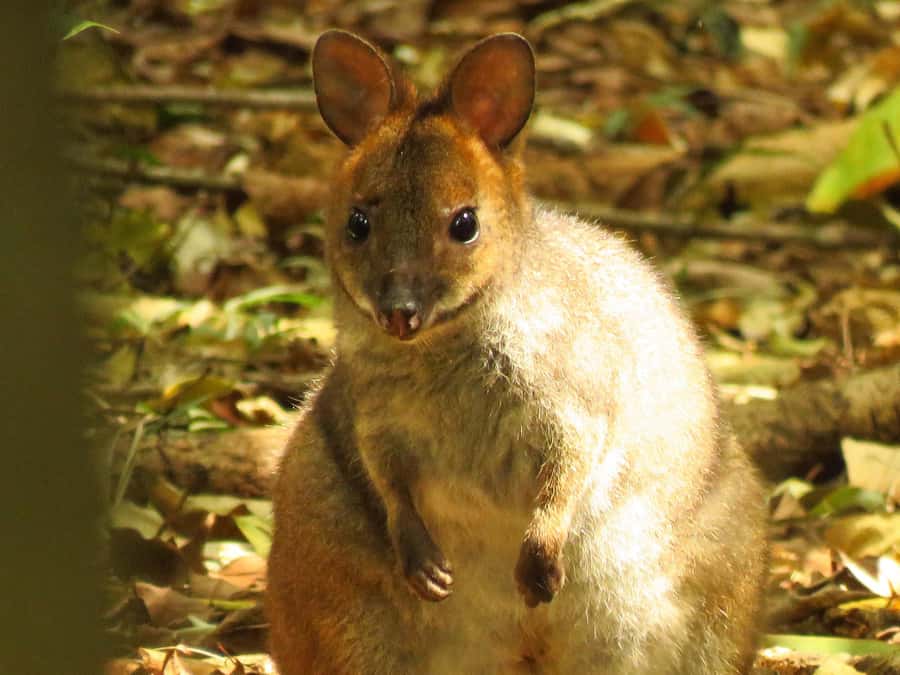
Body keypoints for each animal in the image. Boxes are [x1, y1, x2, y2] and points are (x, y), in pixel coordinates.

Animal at [267, 29, 767, 675]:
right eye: (357, 223)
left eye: (465, 224)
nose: (399, 312)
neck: (437, 354)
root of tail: (525, 654)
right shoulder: (370, 416)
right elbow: (388, 480)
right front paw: (425, 566)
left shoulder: (576, 399)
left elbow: (569, 469)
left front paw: (538, 566)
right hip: (325, 564)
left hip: (711, 580)